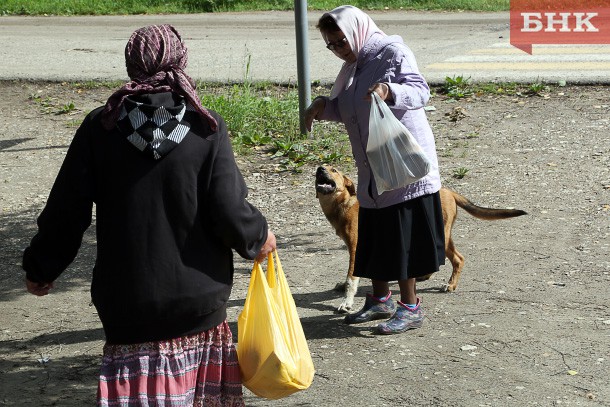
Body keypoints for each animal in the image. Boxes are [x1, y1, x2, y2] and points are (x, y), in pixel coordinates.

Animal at [314, 165, 524, 312]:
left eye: (334, 170)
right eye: (321, 168)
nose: (319, 169)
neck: (343, 205)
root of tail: (449, 191)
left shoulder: (356, 248)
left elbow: (352, 279)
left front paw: (346, 302)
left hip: (441, 236)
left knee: (457, 258)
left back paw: (450, 284)